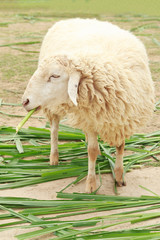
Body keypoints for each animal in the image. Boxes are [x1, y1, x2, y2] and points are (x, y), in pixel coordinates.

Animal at [21, 18, 154, 193]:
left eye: (55, 75)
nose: (25, 101)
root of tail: (69, 19)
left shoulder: (120, 119)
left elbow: (120, 146)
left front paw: (119, 176)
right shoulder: (91, 120)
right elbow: (91, 151)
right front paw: (91, 184)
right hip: (53, 107)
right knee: (54, 130)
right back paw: (54, 158)